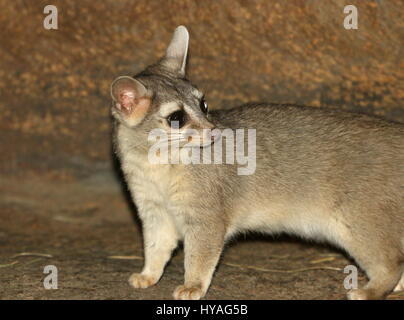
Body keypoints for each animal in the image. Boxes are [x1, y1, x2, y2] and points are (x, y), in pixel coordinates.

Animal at [110, 26, 404, 298]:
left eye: (203, 104)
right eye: (176, 118)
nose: (214, 131)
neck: (158, 167)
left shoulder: (206, 218)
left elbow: (198, 257)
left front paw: (192, 286)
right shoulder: (153, 211)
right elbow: (155, 248)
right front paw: (147, 275)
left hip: (360, 224)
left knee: (391, 264)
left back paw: (368, 291)